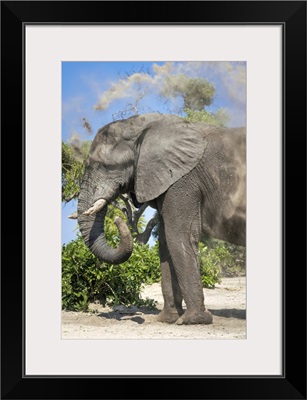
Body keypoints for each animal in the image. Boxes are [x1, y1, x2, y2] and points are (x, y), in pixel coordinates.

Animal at [78, 112, 247, 324]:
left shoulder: (183, 179)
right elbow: (166, 243)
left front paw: (193, 320)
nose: (118, 218)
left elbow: (179, 236)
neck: (143, 126)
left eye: (106, 166)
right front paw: (168, 319)